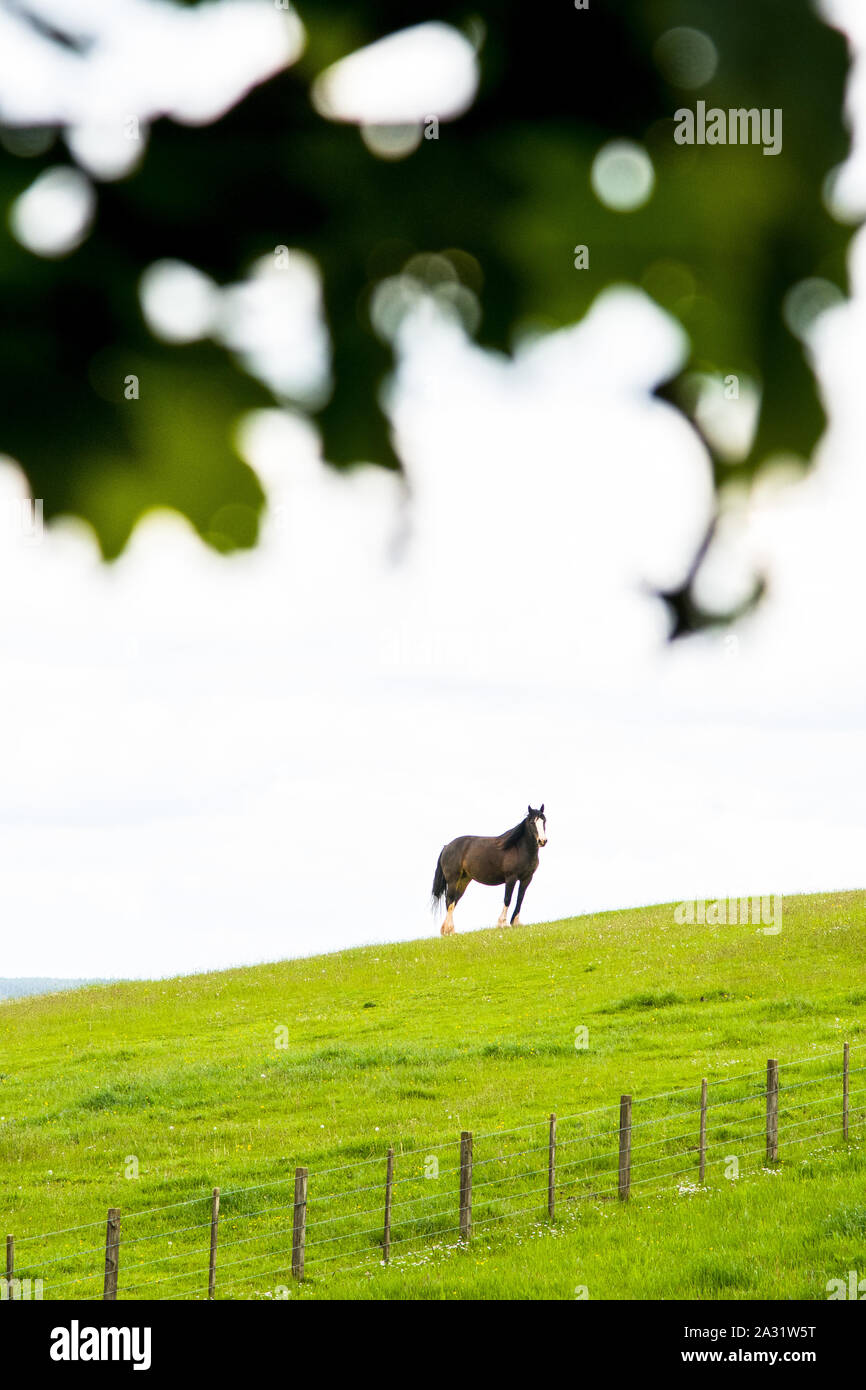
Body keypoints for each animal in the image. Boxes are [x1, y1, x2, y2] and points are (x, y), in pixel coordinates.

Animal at [433, 806, 547, 934]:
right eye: (532, 822)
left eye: (544, 820)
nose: (542, 841)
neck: (519, 849)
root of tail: (447, 846)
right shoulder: (511, 878)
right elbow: (507, 899)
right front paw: (503, 923)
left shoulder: (527, 878)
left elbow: (520, 899)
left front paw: (516, 922)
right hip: (453, 880)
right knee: (450, 900)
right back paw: (449, 930)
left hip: (463, 881)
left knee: (453, 902)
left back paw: (448, 931)